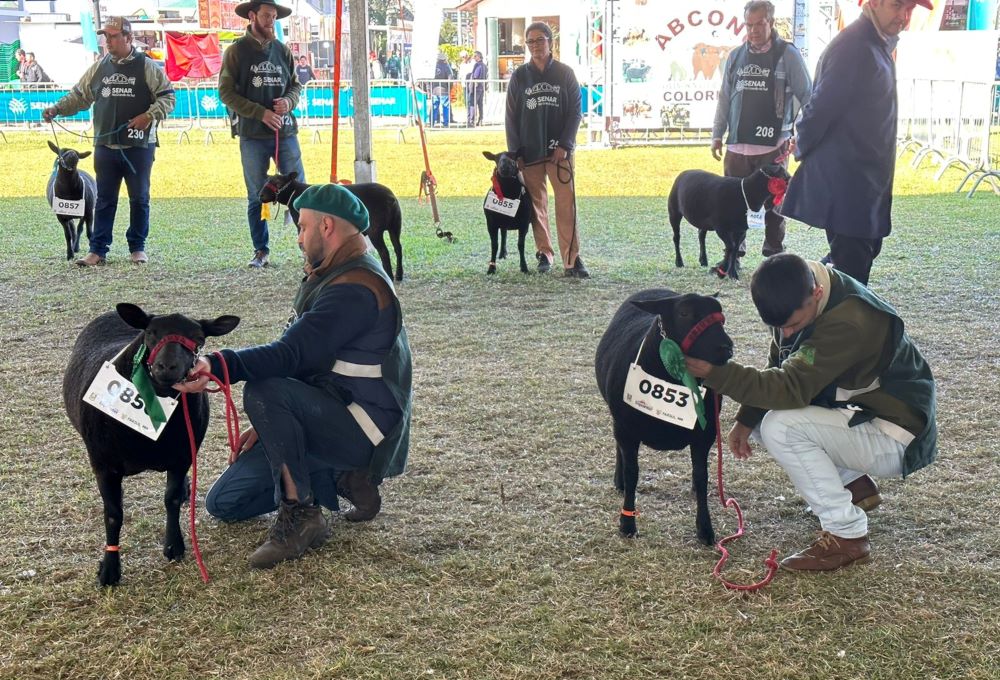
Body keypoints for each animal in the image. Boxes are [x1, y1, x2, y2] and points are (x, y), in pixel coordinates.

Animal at [64, 302, 240, 584]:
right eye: (150, 333)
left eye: (199, 339)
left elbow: (171, 499)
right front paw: (110, 569)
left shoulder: (182, 456)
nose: (167, 366)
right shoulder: (104, 465)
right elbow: (113, 515)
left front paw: (174, 546)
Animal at [258, 174, 406, 282]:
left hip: (376, 230)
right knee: (398, 248)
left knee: (384, 252)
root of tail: (392, 198)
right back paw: (399, 275)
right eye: (267, 180)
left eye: (278, 182)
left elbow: (305, 248)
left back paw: (389, 275)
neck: (295, 193)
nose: (260, 195)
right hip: (395, 225)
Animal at [592, 290, 736, 544]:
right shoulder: (626, 429)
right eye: (684, 313)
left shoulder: (705, 435)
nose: (726, 348)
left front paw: (705, 529)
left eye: (721, 314)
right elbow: (632, 473)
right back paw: (619, 482)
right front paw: (627, 524)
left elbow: (702, 476)